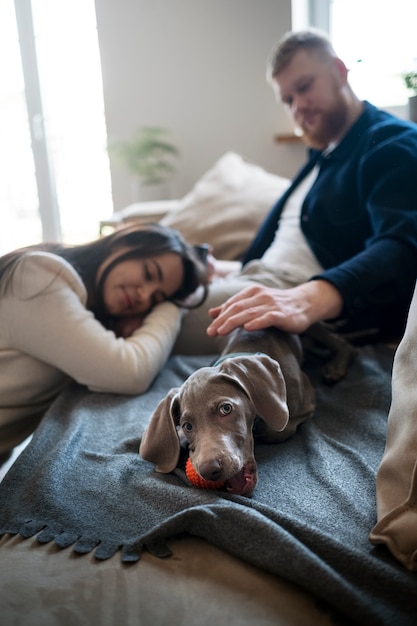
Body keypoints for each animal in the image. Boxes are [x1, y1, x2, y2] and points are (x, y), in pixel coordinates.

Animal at [138, 324, 346, 494]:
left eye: (226, 409)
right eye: (187, 426)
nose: (209, 470)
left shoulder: (305, 404)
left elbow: (276, 429)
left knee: (340, 341)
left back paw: (336, 366)